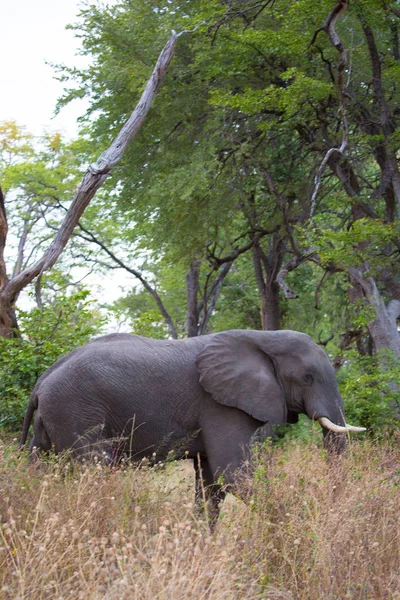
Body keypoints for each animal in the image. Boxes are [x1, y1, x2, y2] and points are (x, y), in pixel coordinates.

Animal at [19, 330, 366, 516]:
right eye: (307, 377)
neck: (263, 337)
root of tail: (41, 382)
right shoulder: (219, 406)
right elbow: (232, 473)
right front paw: (293, 524)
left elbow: (212, 483)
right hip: (77, 411)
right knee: (93, 471)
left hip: (53, 417)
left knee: (41, 470)